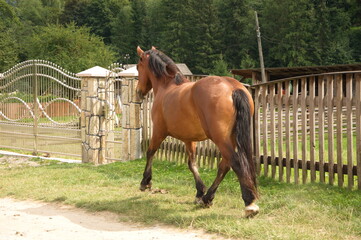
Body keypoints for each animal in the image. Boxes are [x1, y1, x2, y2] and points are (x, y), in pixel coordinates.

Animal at [136, 46, 258, 217]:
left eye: (138, 67)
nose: (138, 92)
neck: (167, 86)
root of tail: (232, 88)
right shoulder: (189, 139)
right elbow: (192, 164)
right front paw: (200, 192)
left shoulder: (159, 131)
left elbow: (150, 152)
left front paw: (146, 182)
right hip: (231, 138)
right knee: (224, 165)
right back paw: (208, 198)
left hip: (220, 139)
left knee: (235, 163)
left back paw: (249, 204)